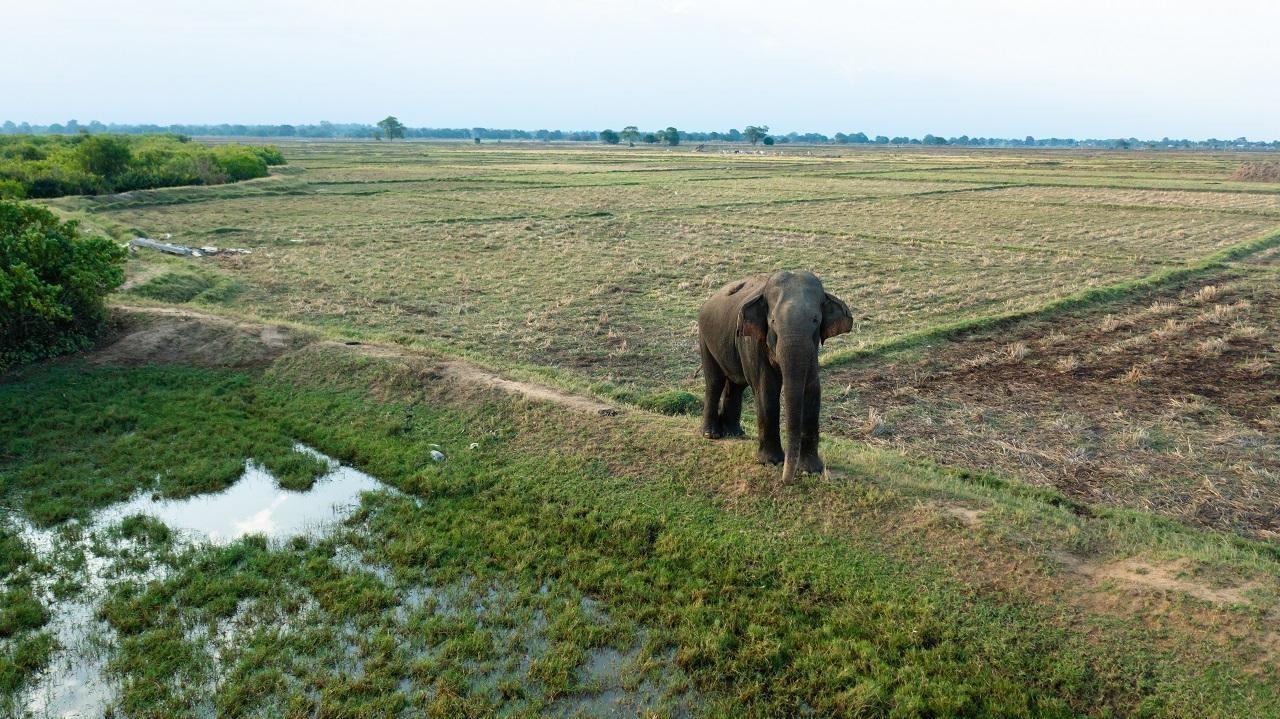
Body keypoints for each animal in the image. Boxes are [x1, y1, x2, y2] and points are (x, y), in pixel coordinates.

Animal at [701, 271, 849, 483]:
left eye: (815, 320)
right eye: (773, 322)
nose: (786, 480)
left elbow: (812, 390)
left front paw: (810, 470)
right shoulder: (753, 341)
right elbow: (766, 389)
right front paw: (771, 462)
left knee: (736, 384)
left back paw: (734, 433)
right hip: (705, 338)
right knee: (715, 381)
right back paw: (711, 435)